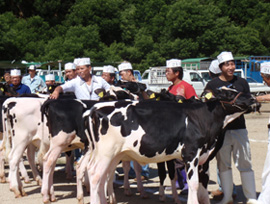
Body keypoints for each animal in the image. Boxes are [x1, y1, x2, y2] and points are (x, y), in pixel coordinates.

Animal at [83, 87, 260, 204]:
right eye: (229, 93)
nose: (254, 100)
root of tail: (94, 109)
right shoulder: (190, 154)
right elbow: (193, 184)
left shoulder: (205, 158)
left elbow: (203, 185)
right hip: (105, 152)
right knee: (94, 174)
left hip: (114, 154)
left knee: (103, 175)